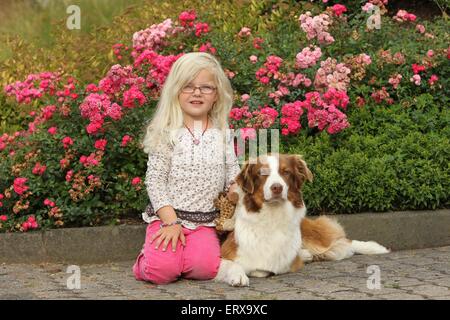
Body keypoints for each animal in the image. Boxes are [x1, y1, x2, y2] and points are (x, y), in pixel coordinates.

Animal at [213, 154, 388, 286]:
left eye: (286, 172)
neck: (272, 217)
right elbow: (242, 266)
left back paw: (375, 247)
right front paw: (239, 275)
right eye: (262, 173)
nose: (277, 187)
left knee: (343, 241)